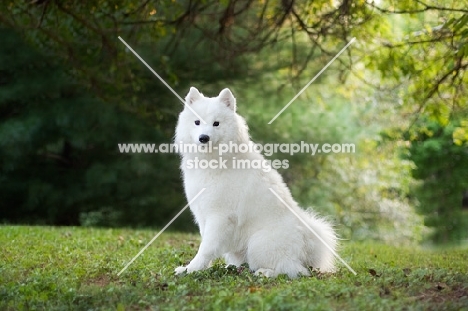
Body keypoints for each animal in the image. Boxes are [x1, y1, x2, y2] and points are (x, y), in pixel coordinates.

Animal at [175, 87, 336, 278]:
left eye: (216, 123)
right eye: (197, 122)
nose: (204, 138)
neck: (213, 161)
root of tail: (308, 243)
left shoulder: (219, 216)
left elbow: (206, 248)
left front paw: (191, 269)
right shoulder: (203, 215)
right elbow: (207, 245)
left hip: (258, 243)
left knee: (293, 269)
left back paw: (265, 272)